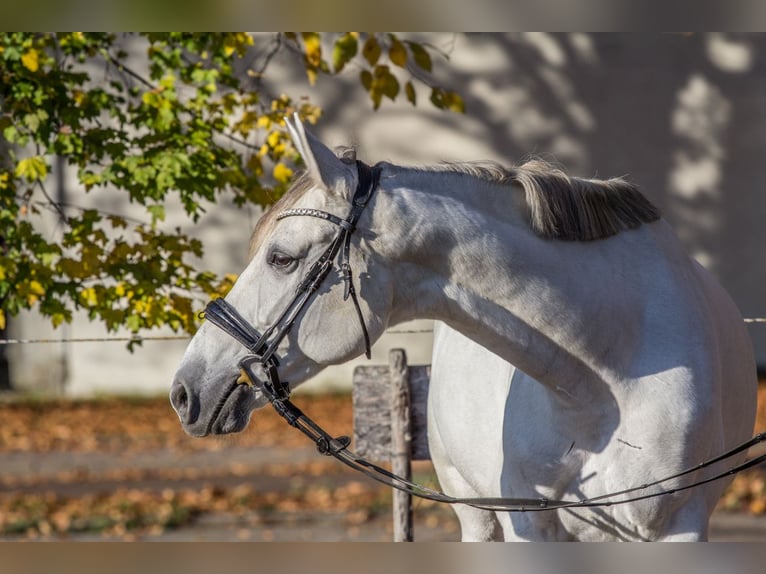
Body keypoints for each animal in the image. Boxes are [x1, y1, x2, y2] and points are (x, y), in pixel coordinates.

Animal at [171, 119, 760, 544]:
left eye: (282, 258)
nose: (183, 391)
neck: (609, 374)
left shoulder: (682, 525)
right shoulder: (529, 525)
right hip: (474, 511)